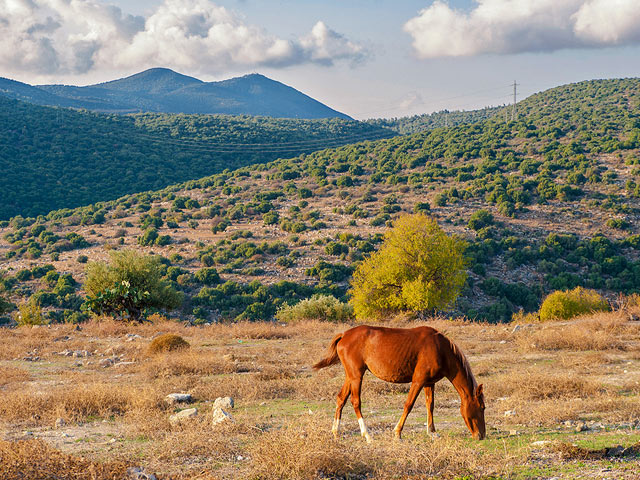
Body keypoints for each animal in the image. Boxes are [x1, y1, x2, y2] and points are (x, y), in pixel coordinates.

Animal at [312, 324, 484, 440]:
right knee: (356, 402)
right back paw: (367, 434)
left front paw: (432, 432)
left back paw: (336, 432)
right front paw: (397, 432)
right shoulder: (418, 380)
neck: (440, 349)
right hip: (356, 376)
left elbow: (430, 405)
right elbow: (409, 405)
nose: (481, 435)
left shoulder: (429, 383)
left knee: (341, 398)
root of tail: (344, 335)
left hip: (351, 376)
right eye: (482, 408)